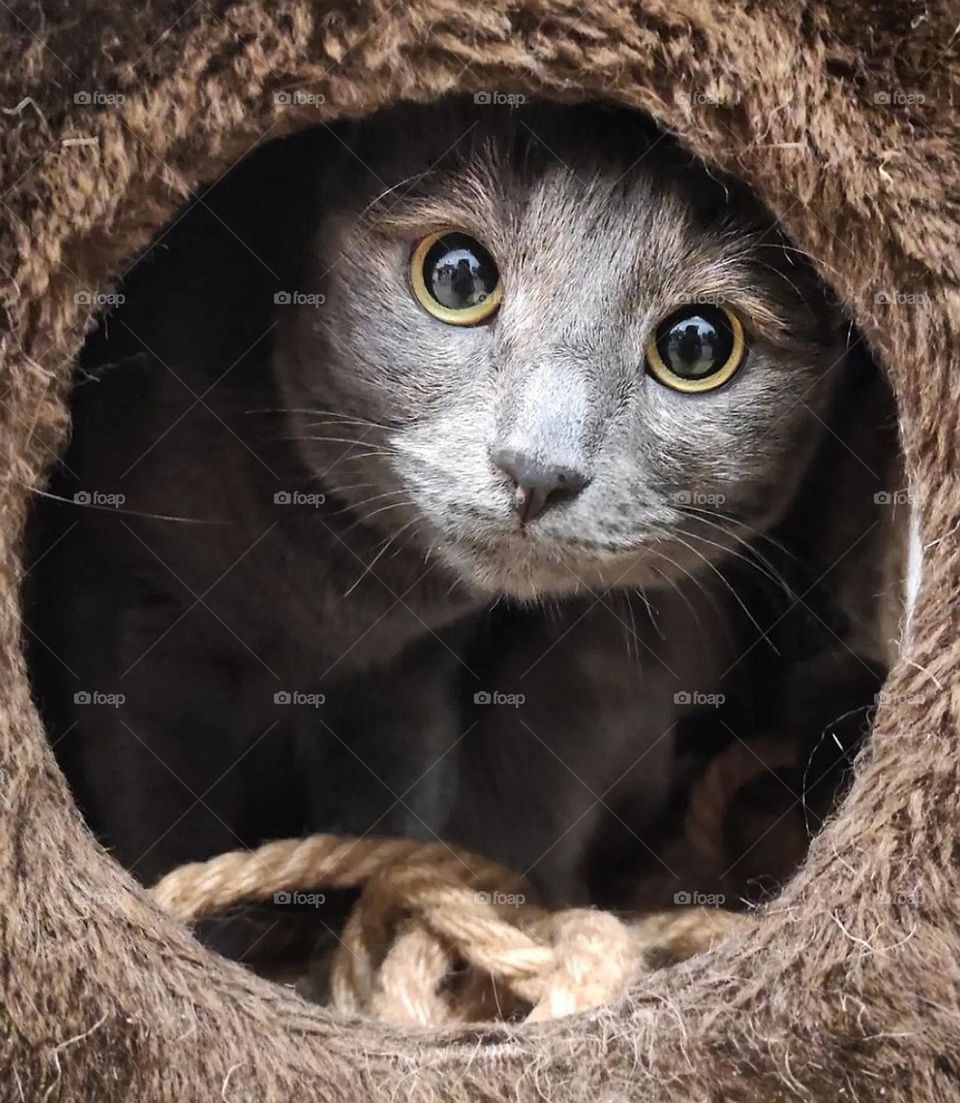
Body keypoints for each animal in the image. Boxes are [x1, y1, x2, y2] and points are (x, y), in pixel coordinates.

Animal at [26, 99, 896, 917]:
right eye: (456, 278)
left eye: (696, 346)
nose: (536, 468)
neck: (330, 612)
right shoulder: (132, 613)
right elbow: (166, 830)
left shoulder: (409, 675)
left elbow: (391, 817)